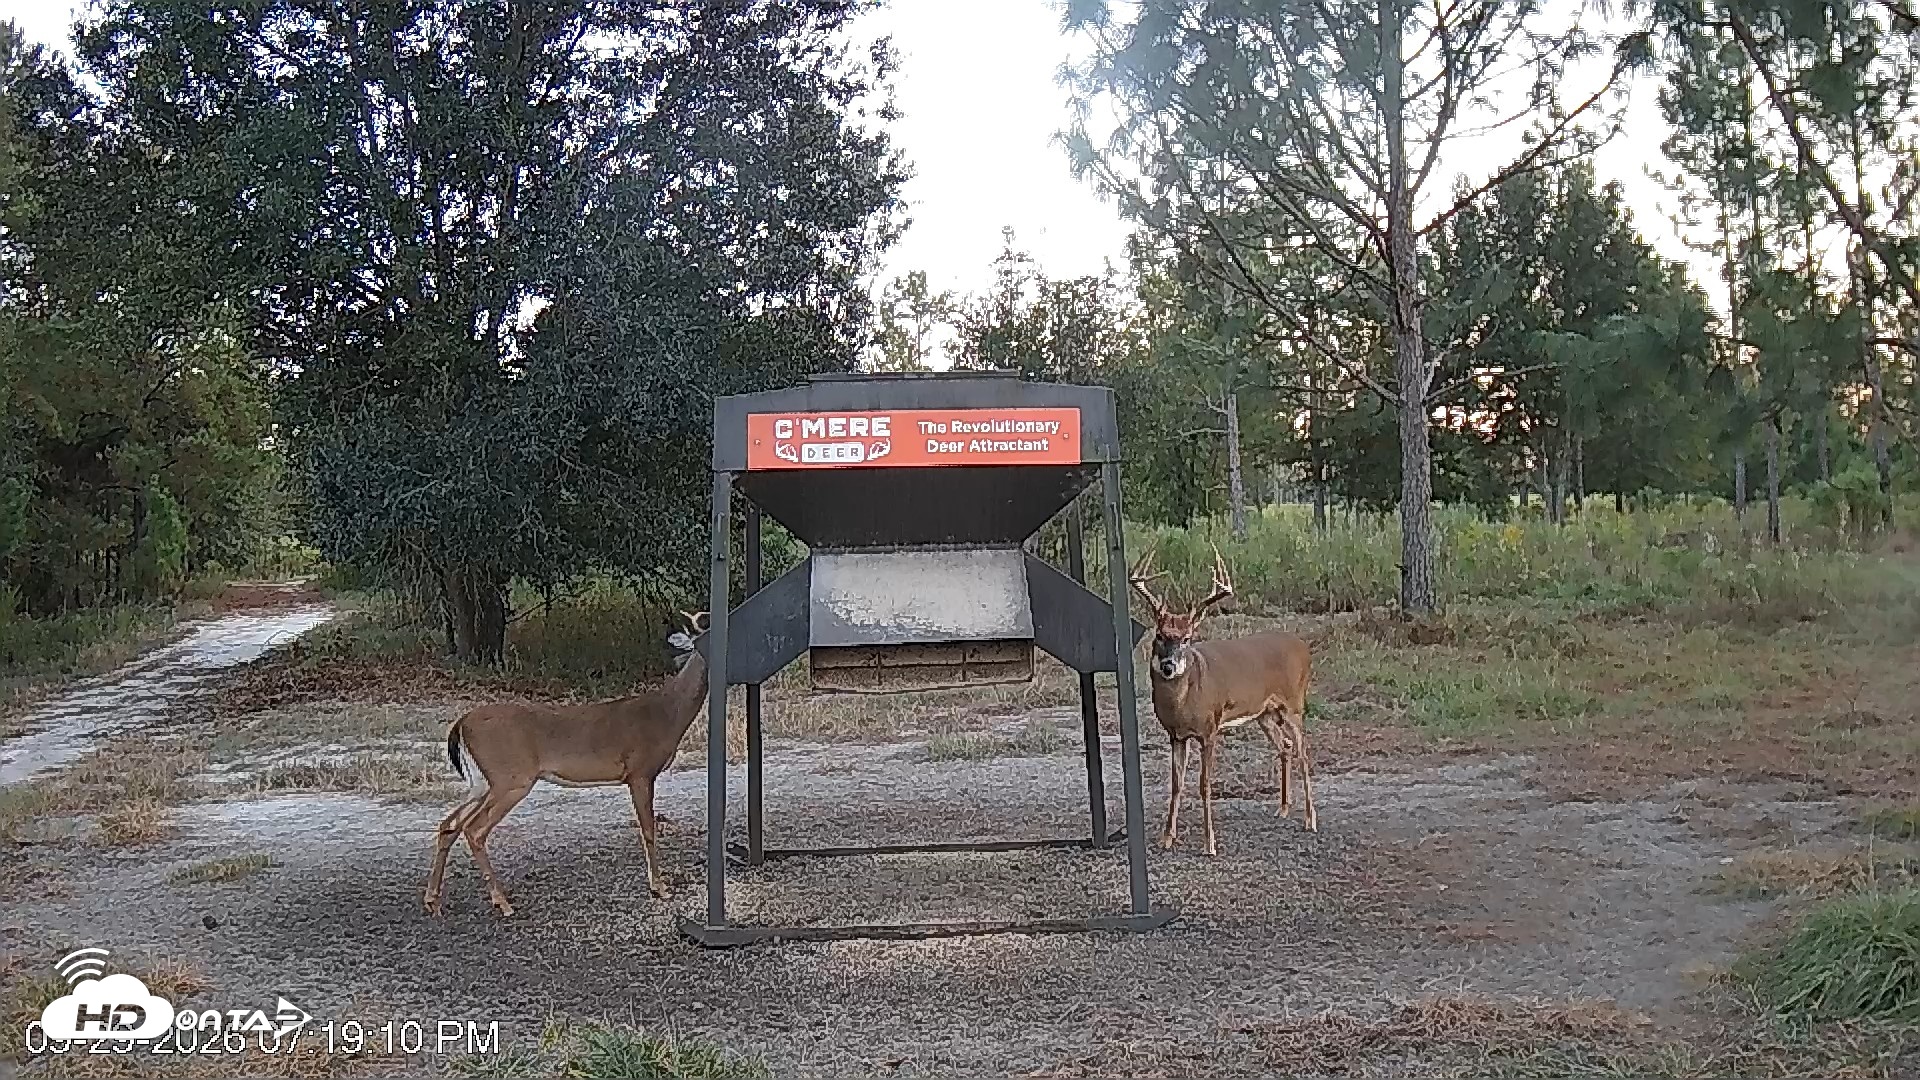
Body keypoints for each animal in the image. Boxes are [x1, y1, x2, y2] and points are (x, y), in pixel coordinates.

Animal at [423, 610, 711, 917]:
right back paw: (501, 901)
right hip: (510, 777)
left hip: (481, 781)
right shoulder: (640, 771)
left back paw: (433, 900)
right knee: (474, 829)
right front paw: (660, 888)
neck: (668, 715)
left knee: (449, 824)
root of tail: (461, 724)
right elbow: (648, 830)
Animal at [1128, 543, 1316, 855]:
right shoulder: (1176, 735)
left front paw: (1210, 843)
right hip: (1265, 713)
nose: (1168, 666)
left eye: (1187, 638)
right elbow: (1176, 783)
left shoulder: (1209, 729)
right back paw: (1283, 808)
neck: (1183, 704)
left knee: (1303, 750)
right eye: (1160, 635)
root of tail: (1303, 646)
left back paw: (1310, 820)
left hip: (1294, 704)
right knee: (1286, 746)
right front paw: (1166, 838)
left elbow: (1204, 785)